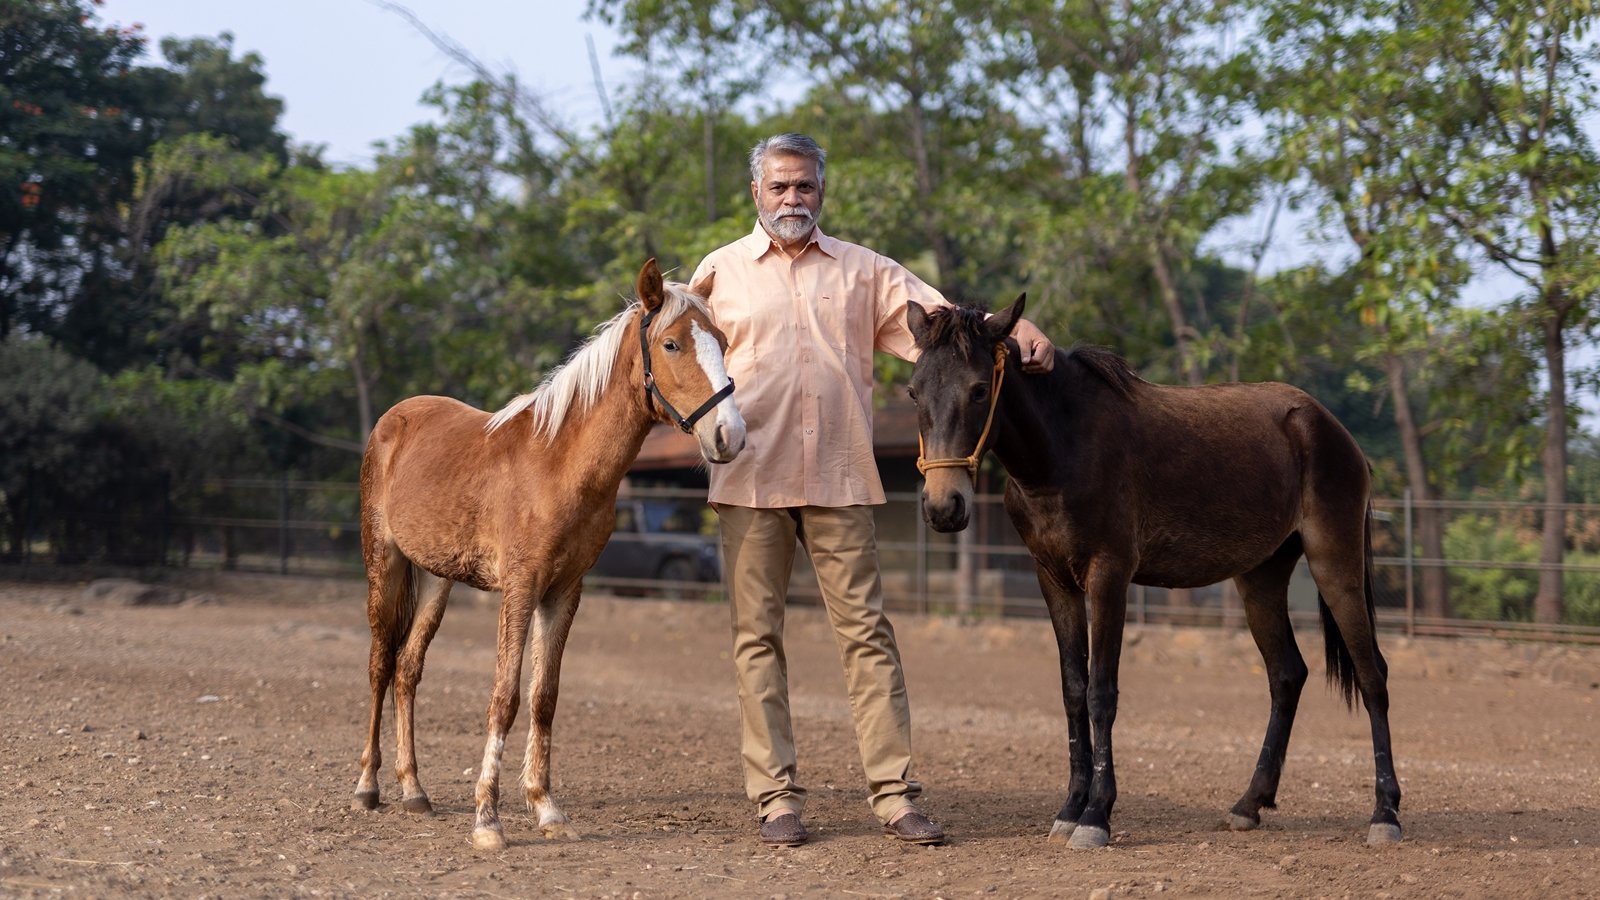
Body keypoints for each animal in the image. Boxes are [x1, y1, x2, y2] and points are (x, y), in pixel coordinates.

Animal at [353, 256, 745, 845]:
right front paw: (487, 820)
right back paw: (367, 787)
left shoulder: (564, 591)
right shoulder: (520, 587)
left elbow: (544, 697)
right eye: (672, 344)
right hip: (386, 564)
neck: (559, 464)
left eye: (721, 340)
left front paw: (546, 808)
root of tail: (393, 419)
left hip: (437, 580)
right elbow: (505, 697)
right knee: (380, 665)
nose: (729, 435)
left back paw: (414, 791)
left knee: (408, 669)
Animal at [915, 296, 1401, 845]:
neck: (1065, 445)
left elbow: (1101, 693)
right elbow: (1073, 691)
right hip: (1261, 579)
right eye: (914, 390)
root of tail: (1332, 430)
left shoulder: (1109, 576)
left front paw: (1095, 816)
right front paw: (1070, 808)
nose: (943, 506)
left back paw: (1384, 814)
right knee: (1286, 675)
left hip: (1334, 564)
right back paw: (1249, 804)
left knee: (1372, 675)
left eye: (979, 389)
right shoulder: (1054, 580)